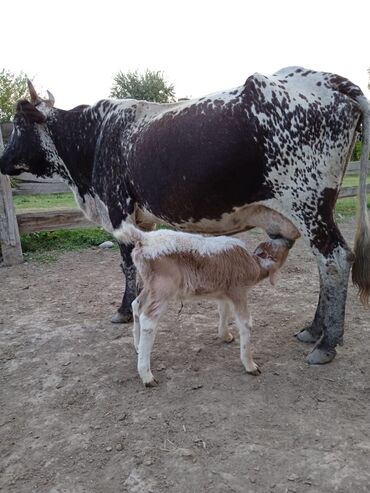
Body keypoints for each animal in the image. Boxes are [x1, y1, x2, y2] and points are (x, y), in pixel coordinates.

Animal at [0, 67, 368, 366]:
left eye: (17, 125)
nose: (2, 161)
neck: (94, 138)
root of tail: (332, 80)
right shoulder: (141, 219)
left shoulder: (118, 208)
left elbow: (127, 265)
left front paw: (123, 311)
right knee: (325, 264)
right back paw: (314, 329)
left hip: (309, 205)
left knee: (335, 259)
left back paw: (327, 343)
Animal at [114, 225, 290, 386]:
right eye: (276, 247)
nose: (288, 241)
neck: (252, 263)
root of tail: (144, 238)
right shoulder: (238, 290)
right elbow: (245, 323)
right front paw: (250, 365)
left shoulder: (224, 291)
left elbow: (223, 310)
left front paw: (225, 335)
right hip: (163, 288)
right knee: (148, 320)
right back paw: (147, 375)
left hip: (150, 286)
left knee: (136, 304)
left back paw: (137, 346)